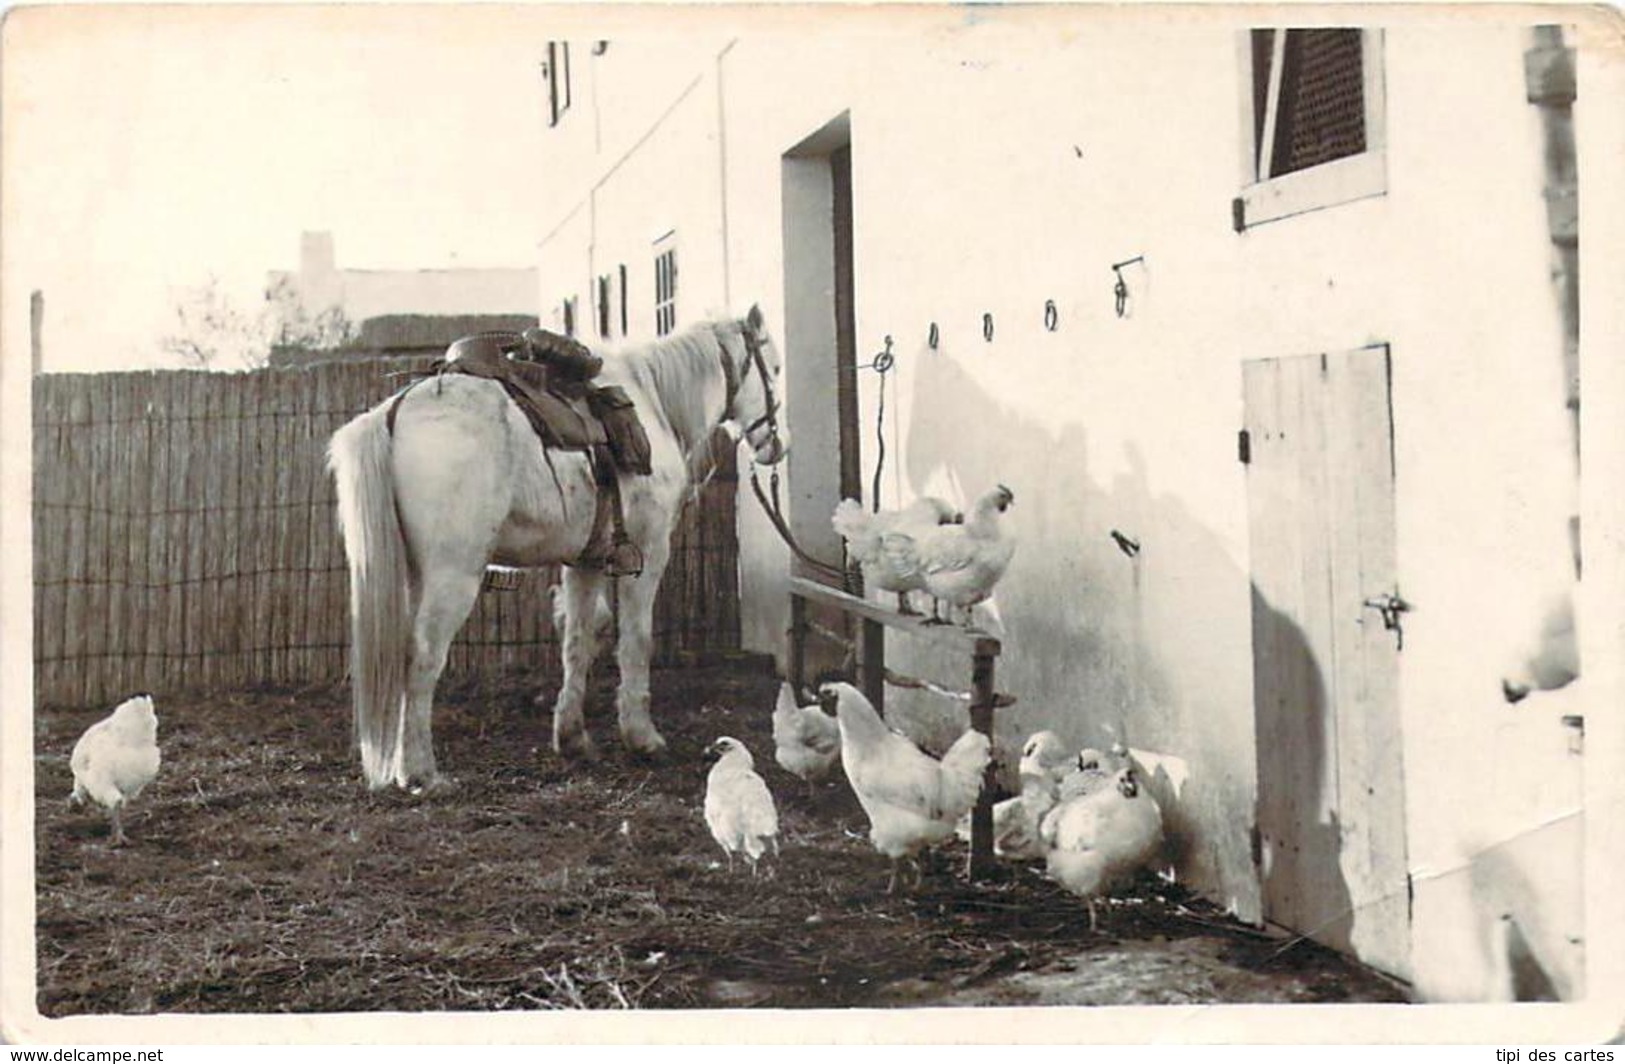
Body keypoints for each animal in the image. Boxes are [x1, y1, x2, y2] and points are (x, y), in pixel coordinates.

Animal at [326, 303, 783, 786]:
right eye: (774, 369)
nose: (776, 446)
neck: (653, 402)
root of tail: (395, 411)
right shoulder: (649, 553)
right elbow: (636, 641)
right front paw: (642, 737)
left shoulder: (585, 562)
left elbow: (578, 641)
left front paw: (572, 737)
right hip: (453, 576)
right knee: (424, 655)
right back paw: (421, 772)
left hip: (418, 574)